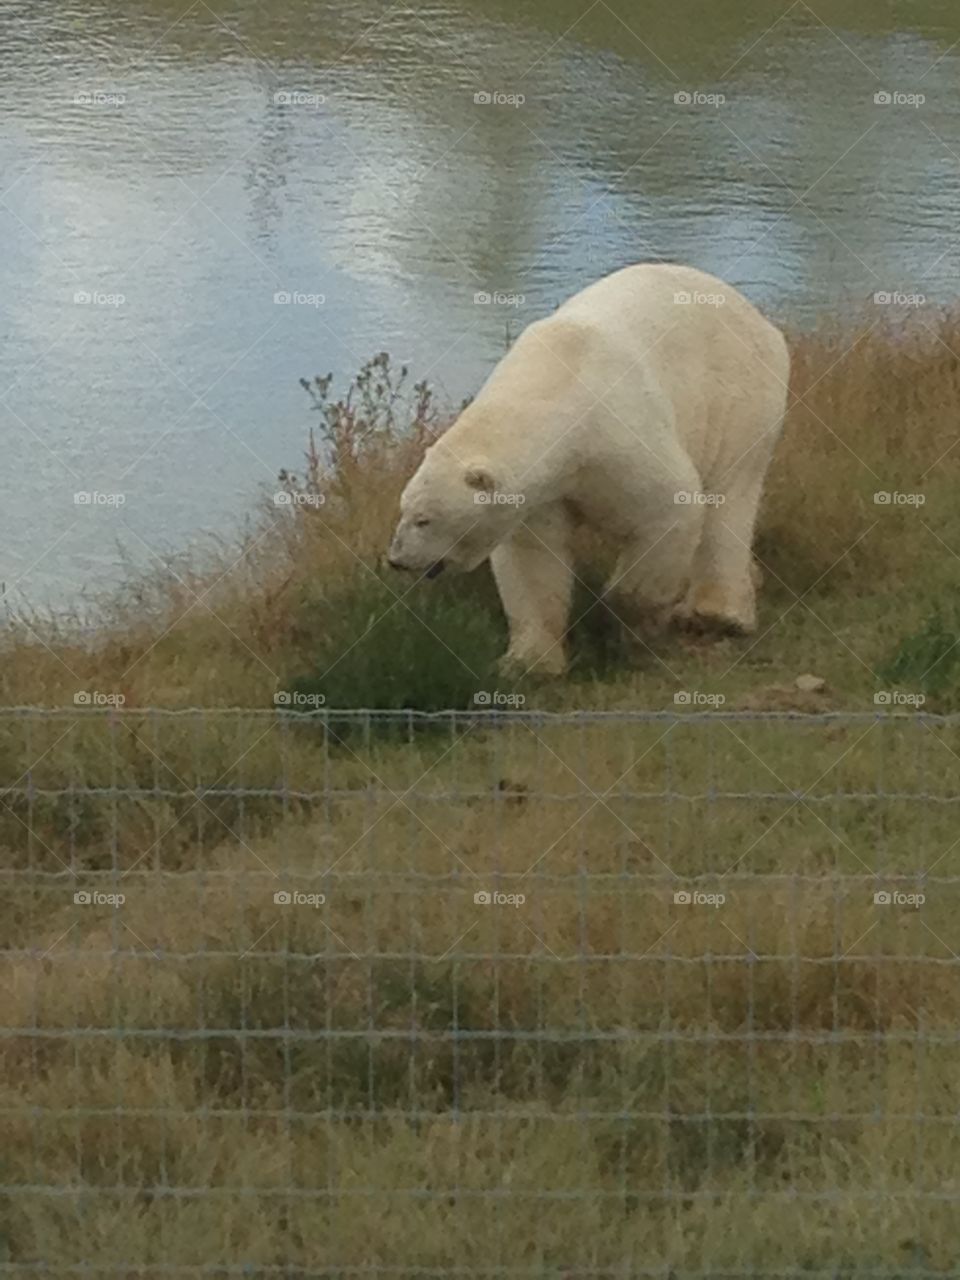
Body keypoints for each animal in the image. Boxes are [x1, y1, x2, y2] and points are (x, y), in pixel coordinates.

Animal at [387, 263, 790, 676]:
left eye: (424, 519)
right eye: (404, 510)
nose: (396, 560)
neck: (560, 378)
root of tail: (763, 321)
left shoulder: (618, 436)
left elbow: (670, 506)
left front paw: (628, 612)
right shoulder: (542, 493)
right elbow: (533, 559)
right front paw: (528, 661)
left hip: (739, 399)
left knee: (729, 497)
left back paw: (716, 614)